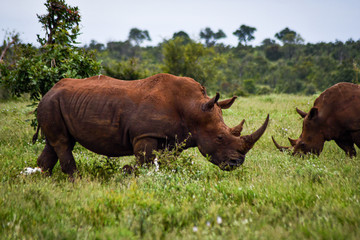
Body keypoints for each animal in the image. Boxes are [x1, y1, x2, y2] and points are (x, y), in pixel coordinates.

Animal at [33, 72, 268, 177]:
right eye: (220, 138)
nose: (237, 163)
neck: (193, 109)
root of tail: (48, 91)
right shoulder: (145, 134)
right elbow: (145, 162)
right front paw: (128, 172)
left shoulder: (174, 139)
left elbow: (166, 164)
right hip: (52, 103)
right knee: (63, 143)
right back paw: (77, 182)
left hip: (56, 103)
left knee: (55, 143)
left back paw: (43, 180)